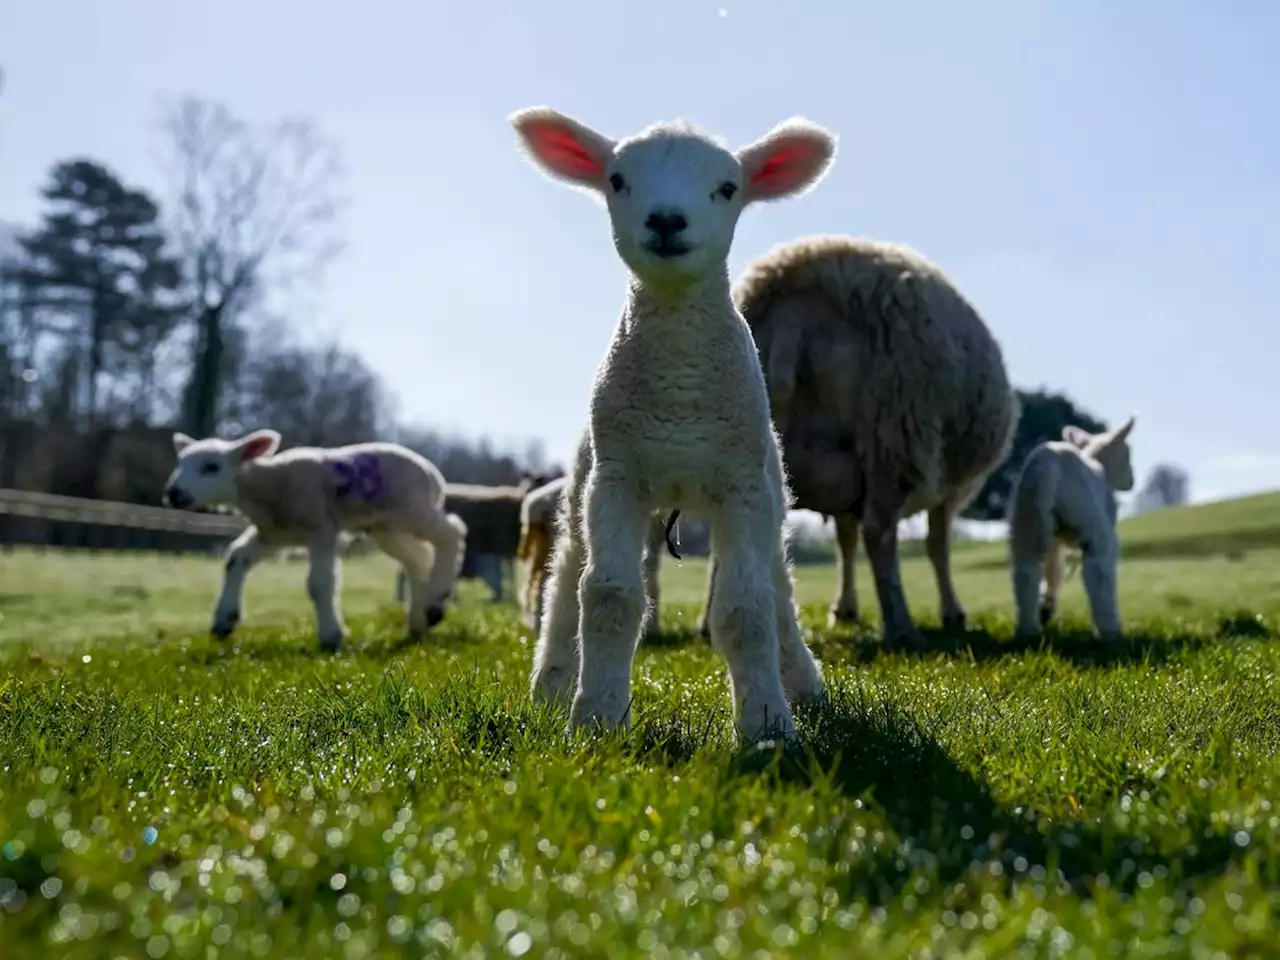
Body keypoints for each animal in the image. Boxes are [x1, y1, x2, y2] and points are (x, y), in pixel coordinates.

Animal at [162, 430, 468, 650]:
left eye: (211, 467)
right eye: (181, 463)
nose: (174, 494)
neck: (270, 482)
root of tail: (434, 475)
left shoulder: (322, 528)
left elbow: (320, 583)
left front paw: (331, 636)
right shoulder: (273, 532)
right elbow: (236, 557)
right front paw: (223, 621)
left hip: (412, 508)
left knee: (452, 533)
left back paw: (435, 600)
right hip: (385, 527)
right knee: (418, 558)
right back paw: (421, 619)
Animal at [514, 104, 834, 742]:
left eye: (728, 187)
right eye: (617, 180)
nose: (666, 220)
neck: (678, 389)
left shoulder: (742, 485)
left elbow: (746, 609)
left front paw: (767, 726)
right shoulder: (616, 480)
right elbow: (607, 598)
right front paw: (595, 720)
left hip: (769, 492)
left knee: (778, 587)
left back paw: (803, 684)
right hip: (583, 483)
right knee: (564, 582)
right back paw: (550, 687)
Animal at [691, 236, 1018, 650]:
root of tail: (796, 307)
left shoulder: (844, 482)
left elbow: (845, 541)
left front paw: (845, 609)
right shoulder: (946, 489)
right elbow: (937, 545)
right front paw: (952, 613)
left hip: (742, 441)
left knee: (728, 540)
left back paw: (708, 625)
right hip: (894, 435)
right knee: (879, 533)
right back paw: (901, 627)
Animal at [1003, 417, 1136, 642]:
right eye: (1127, 454)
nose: (1131, 482)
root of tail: (1047, 466)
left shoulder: (1055, 542)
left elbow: (1054, 569)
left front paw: (1046, 609)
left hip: (1027, 517)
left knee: (1026, 572)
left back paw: (1028, 629)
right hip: (1091, 522)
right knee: (1098, 571)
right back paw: (1109, 630)